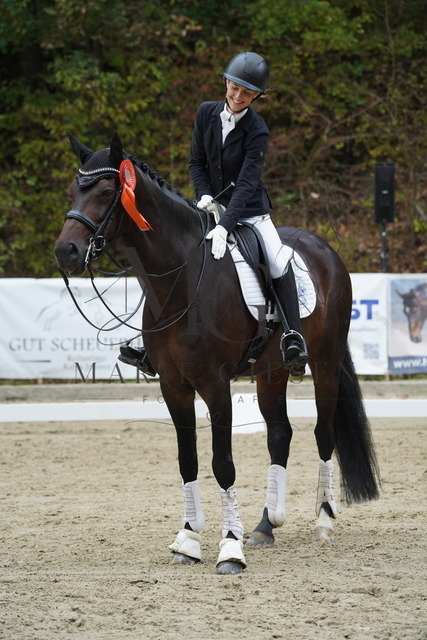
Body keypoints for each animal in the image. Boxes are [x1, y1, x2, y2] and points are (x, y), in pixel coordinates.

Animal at [54, 133, 380, 575]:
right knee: (280, 435)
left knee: (322, 434)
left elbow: (222, 463)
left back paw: (324, 523)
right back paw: (265, 525)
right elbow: (187, 460)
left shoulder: (215, 384)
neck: (180, 280)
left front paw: (230, 548)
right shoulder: (174, 386)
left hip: (325, 365)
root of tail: (325, 249)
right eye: (74, 190)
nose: (66, 252)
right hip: (270, 372)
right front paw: (189, 540)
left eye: (106, 192)